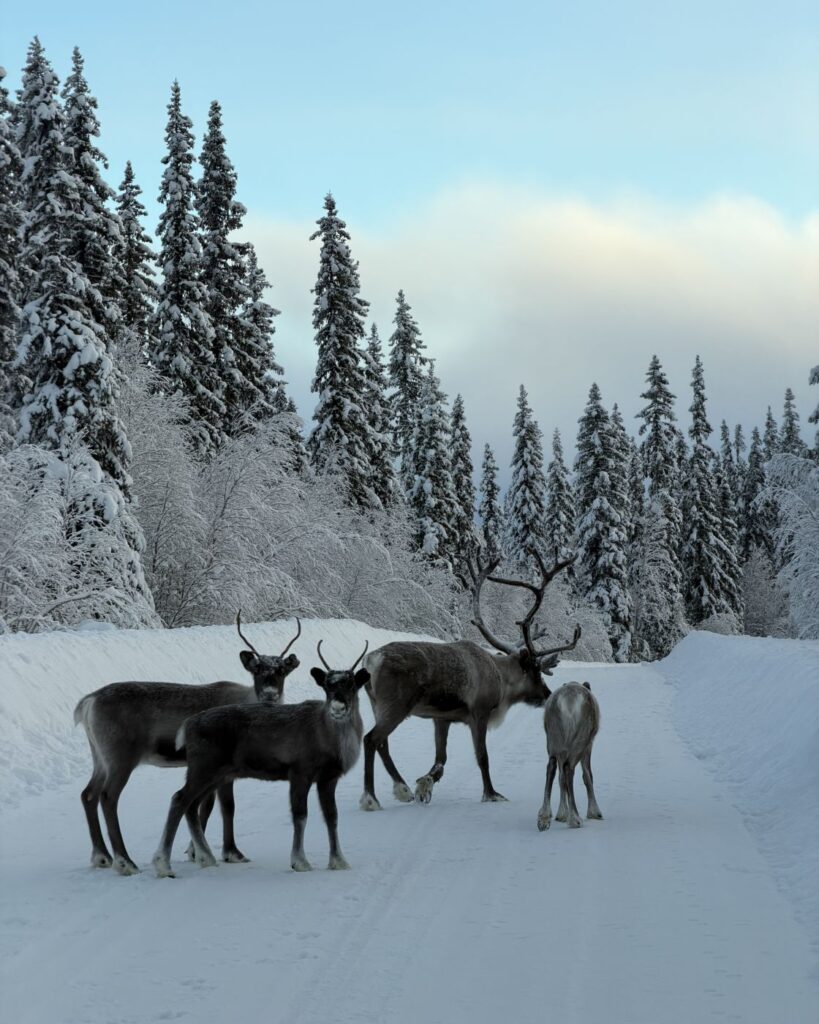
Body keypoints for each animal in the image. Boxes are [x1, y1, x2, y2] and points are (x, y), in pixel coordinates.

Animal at [73, 614, 301, 875]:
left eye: (282, 670)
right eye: (257, 670)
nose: (270, 694)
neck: (247, 699)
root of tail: (88, 702)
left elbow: (208, 806)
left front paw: (196, 851)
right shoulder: (222, 768)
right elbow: (225, 806)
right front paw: (227, 852)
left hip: (100, 757)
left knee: (88, 794)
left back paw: (102, 856)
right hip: (121, 758)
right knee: (108, 796)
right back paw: (125, 861)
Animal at [152, 639, 370, 878]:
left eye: (352, 685)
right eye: (327, 686)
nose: (338, 708)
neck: (330, 740)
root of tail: (187, 725)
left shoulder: (328, 778)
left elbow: (332, 817)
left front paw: (339, 861)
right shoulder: (299, 772)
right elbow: (300, 816)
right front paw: (300, 861)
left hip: (217, 774)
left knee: (191, 806)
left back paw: (205, 857)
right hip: (204, 767)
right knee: (179, 799)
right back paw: (163, 865)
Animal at [359, 547, 581, 810]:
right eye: (535, 670)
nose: (547, 694)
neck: (501, 679)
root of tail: (371, 661)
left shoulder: (441, 718)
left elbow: (441, 760)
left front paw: (424, 785)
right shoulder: (479, 713)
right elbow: (482, 756)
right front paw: (491, 793)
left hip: (377, 705)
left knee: (383, 744)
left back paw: (402, 789)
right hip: (396, 706)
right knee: (371, 739)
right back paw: (371, 798)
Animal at [537, 681, 602, 830]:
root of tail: (568, 702)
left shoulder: (561, 751)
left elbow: (561, 780)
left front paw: (561, 814)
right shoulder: (588, 746)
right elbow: (587, 775)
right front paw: (594, 812)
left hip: (553, 740)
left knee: (551, 767)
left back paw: (544, 817)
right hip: (580, 741)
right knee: (568, 769)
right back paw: (575, 819)